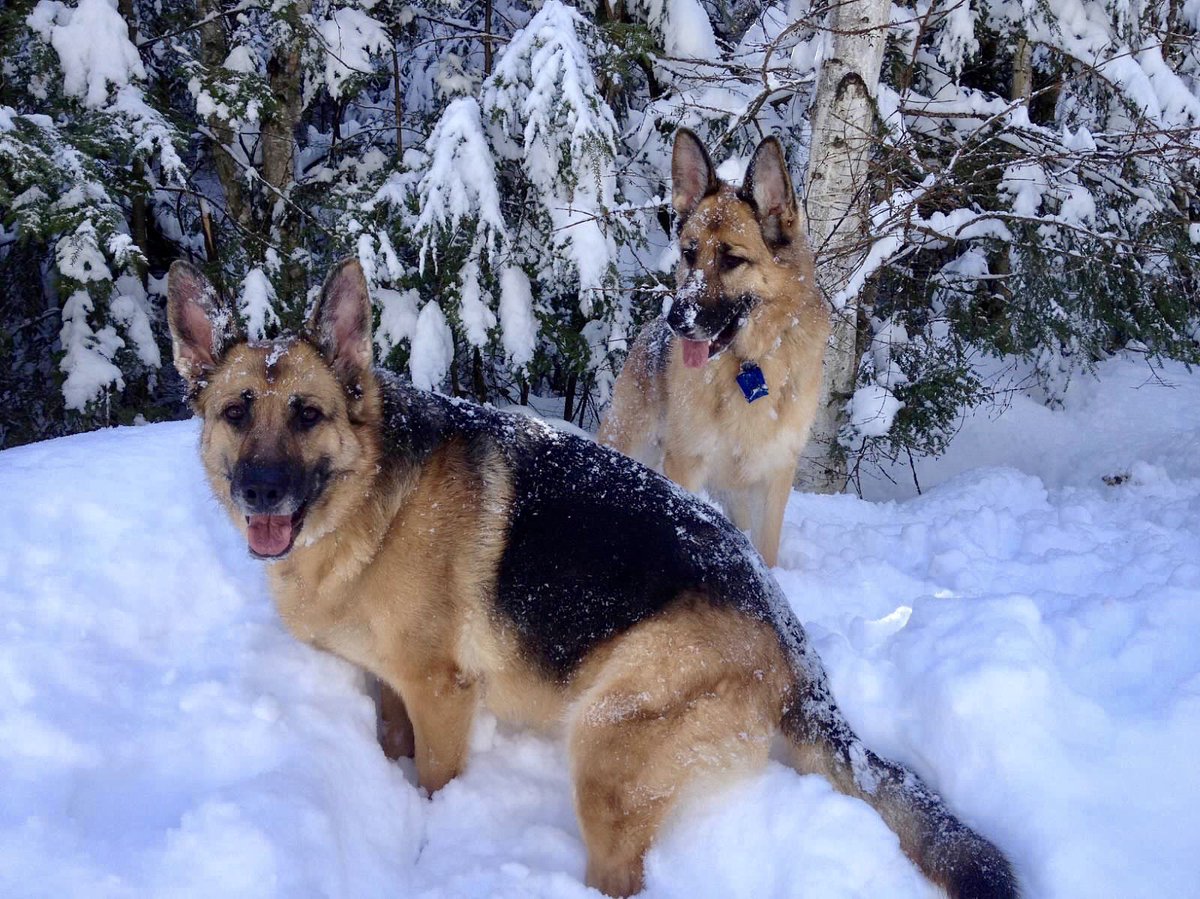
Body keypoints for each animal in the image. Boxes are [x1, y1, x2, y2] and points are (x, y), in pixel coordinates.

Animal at [166, 255, 1012, 892]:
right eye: (236, 412)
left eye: (307, 415)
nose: (260, 491)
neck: (374, 499)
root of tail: (790, 635)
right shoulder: (389, 683)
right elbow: (388, 735)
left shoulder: (443, 696)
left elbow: (435, 778)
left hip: (605, 740)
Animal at [597, 127, 830, 561]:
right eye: (689, 254)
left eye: (732, 260)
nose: (676, 320)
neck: (751, 364)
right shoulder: (685, 464)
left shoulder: (774, 477)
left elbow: (766, 553)